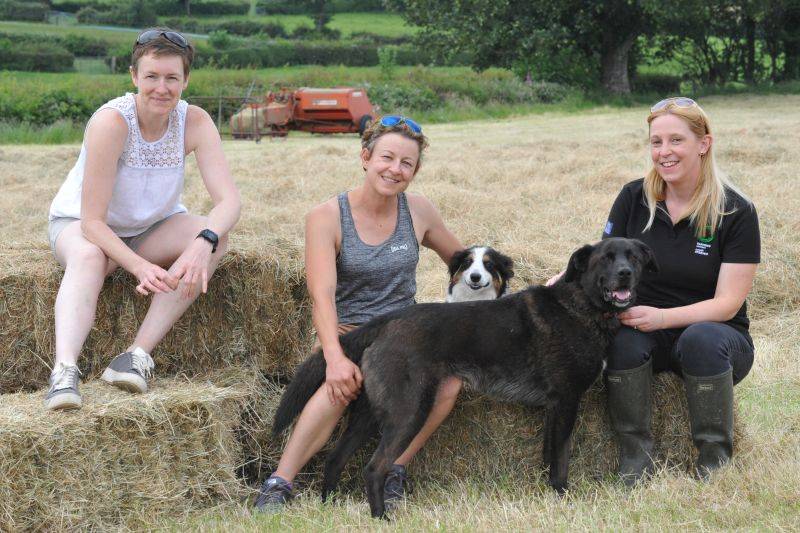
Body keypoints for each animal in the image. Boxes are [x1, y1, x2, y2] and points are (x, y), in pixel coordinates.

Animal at [272, 237, 660, 516]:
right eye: (606, 258)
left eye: (634, 258)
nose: (625, 273)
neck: (580, 305)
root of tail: (387, 321)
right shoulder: (566, 401)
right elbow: (562, 457)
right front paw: (563, 494)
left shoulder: (553, 407)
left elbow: (549, 454)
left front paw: (548, 492)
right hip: (408, 412)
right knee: (374, 467)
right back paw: (381, 517)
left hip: (370, 414)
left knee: (335, 458)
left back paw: (329, 505)